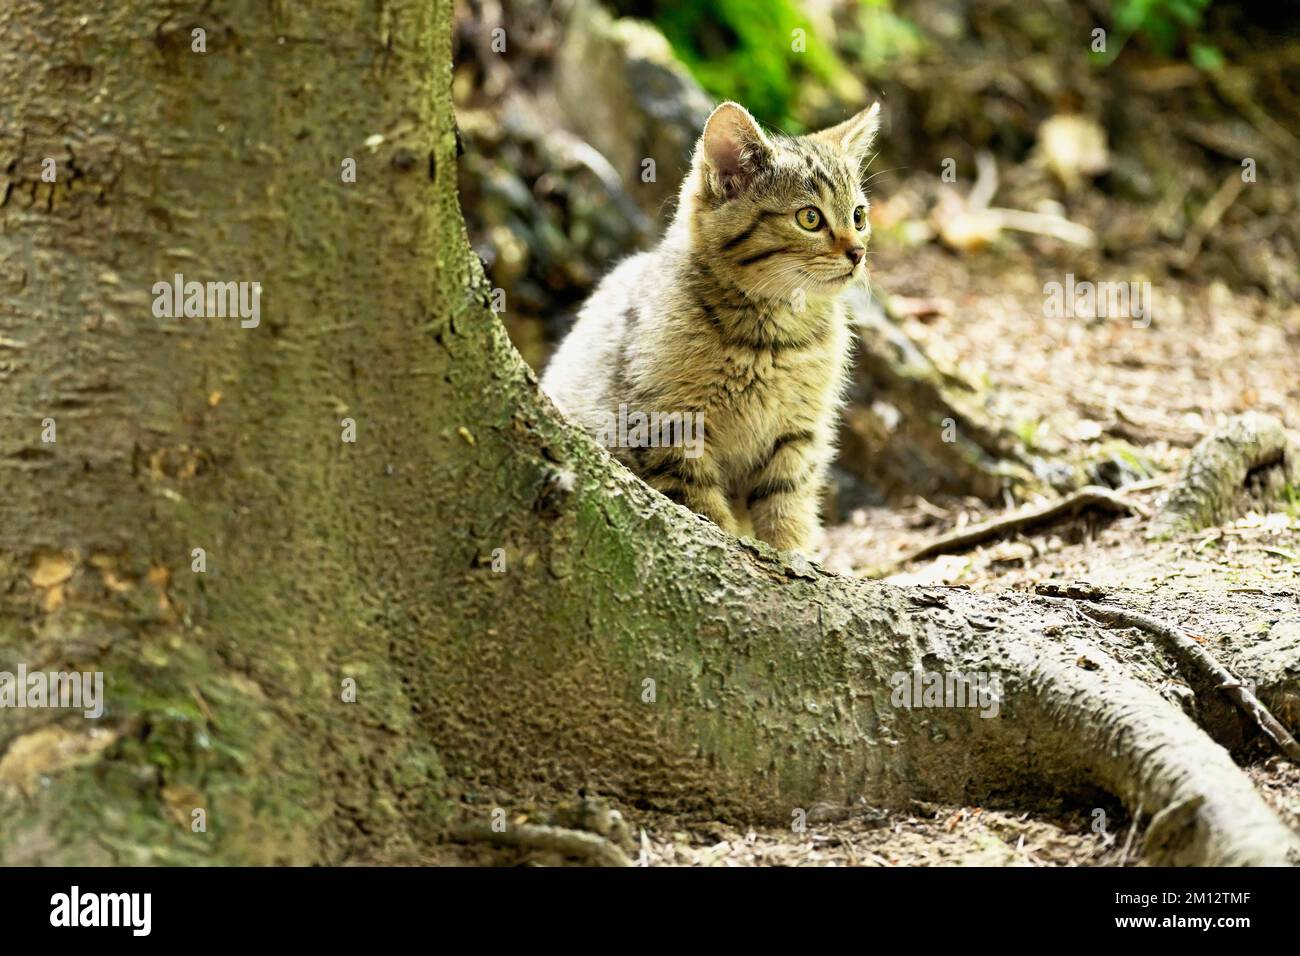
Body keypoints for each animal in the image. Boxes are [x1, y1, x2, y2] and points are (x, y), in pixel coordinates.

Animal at [538, 102, 883, 554]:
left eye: (859, 216)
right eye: (809, 218)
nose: (858, 253)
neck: (772, 339)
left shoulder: (797, 433)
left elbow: (786, 506)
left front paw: (792, 555)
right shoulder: (665, 428)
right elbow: (705, 512)